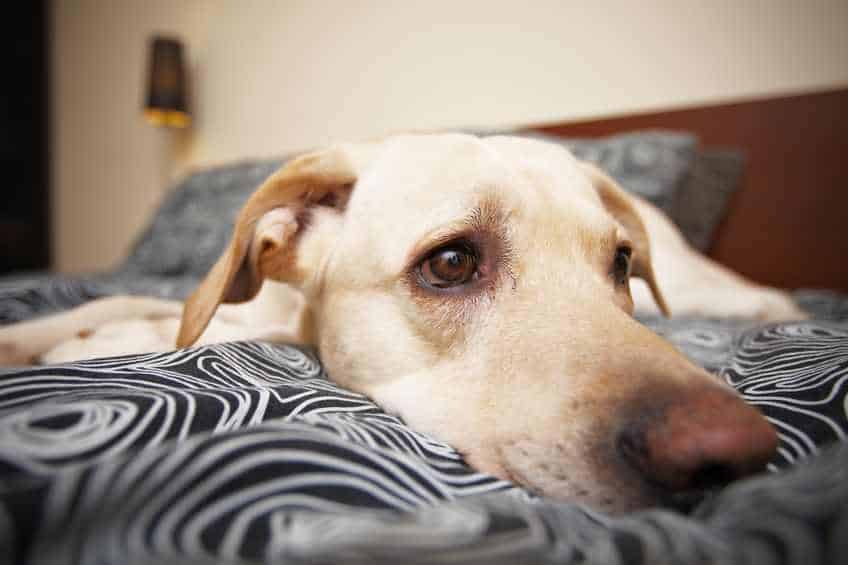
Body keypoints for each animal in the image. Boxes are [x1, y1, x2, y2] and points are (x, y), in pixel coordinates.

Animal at [0, 132, 808, 512]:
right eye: (450, 263)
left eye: (618, 265)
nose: (726, 455)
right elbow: (122, 303)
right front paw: (34, 334)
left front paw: (95, 343)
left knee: (762, 300)